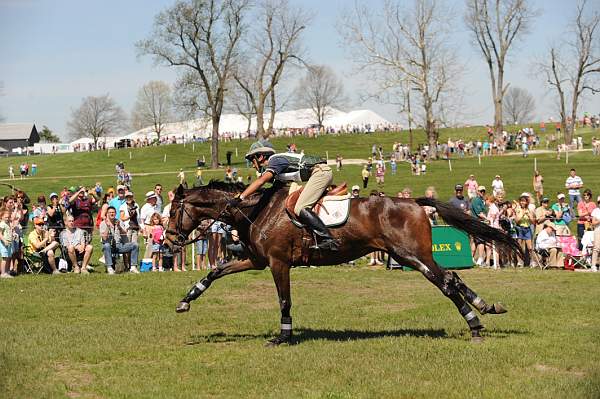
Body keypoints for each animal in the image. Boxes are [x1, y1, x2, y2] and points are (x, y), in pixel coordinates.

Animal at [165, 182, 520, 346]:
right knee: (451, 278)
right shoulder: (256, 260)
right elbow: (215, 271)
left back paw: (475, 324)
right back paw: (485, 307)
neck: (256, 209)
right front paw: (185, 301)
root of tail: (415, 203)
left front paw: (283, 337)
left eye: (174, 211)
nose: (168, 242)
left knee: (446, 282)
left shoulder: (278, 263)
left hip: (411, 255)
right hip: (408, 256)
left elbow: (284, 300)